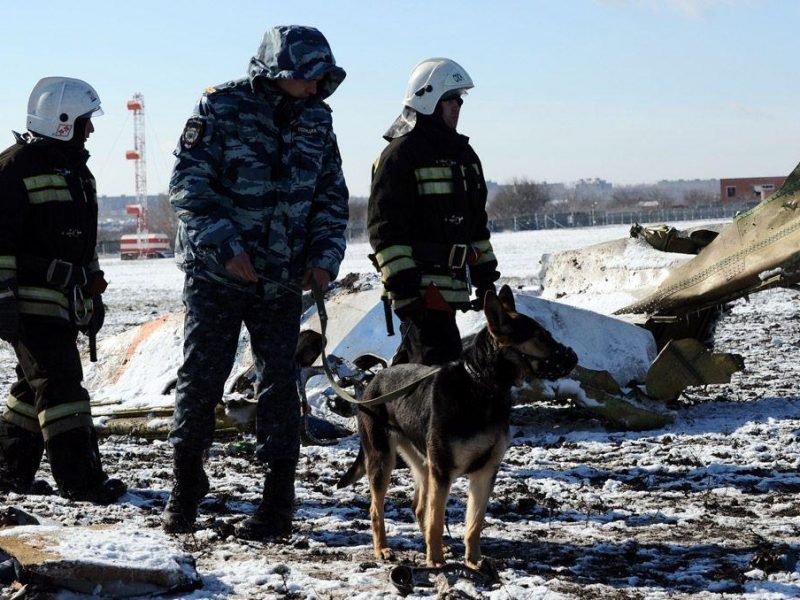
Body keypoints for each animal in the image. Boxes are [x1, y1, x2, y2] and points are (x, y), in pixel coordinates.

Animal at [338, 286, 576, 568]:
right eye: (541, 337)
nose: (574, 357)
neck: (483, 386)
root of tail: (375, 379)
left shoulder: (485, 472)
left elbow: (474, 523)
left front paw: (473, 562)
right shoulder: (442, 471)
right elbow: (437, 520)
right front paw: (435, 562)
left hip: (422, 461)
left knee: (419, 506)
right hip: (383, 459)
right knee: (377, 509)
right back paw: (383, 549)